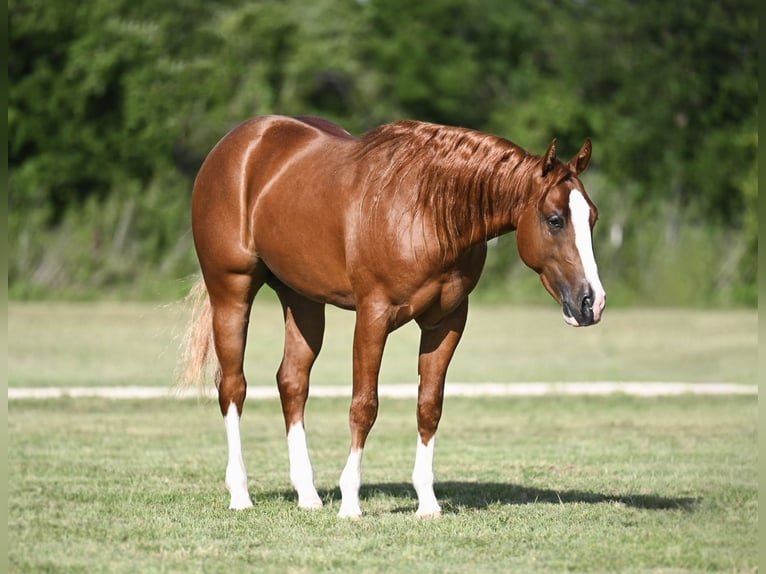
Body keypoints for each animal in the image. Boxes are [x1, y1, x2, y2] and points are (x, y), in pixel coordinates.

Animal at [179, 114, 606, 518]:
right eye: (555, 219)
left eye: (593, 218)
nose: (592, 302)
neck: (428, 211)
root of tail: (240, 142)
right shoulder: (373, 316)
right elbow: (364, 406)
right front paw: (351, 503)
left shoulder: (447, 322)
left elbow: (429, 407)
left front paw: (427, 503)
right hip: (231, 292)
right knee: (233, 386)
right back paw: (240, 494)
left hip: (301, 300)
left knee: (292, 383)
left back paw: (308, 495)